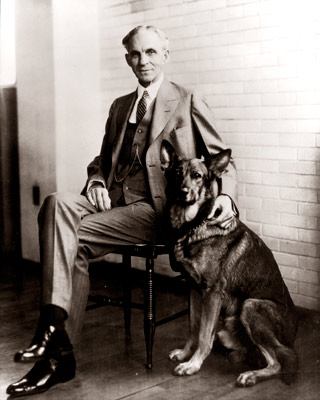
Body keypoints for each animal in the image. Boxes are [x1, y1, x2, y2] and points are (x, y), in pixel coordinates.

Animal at [161, 141, 298, 388]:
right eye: (176, 174)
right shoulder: (194, 289)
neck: (193, 226)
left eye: (197, 176)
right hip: (228, 328)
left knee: (277, 362)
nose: (183, 192)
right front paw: (186, 354)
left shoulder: (212, 293)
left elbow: (204, 335)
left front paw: (193, 365)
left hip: (250, 306)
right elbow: (194, 328)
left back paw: (251, 375)